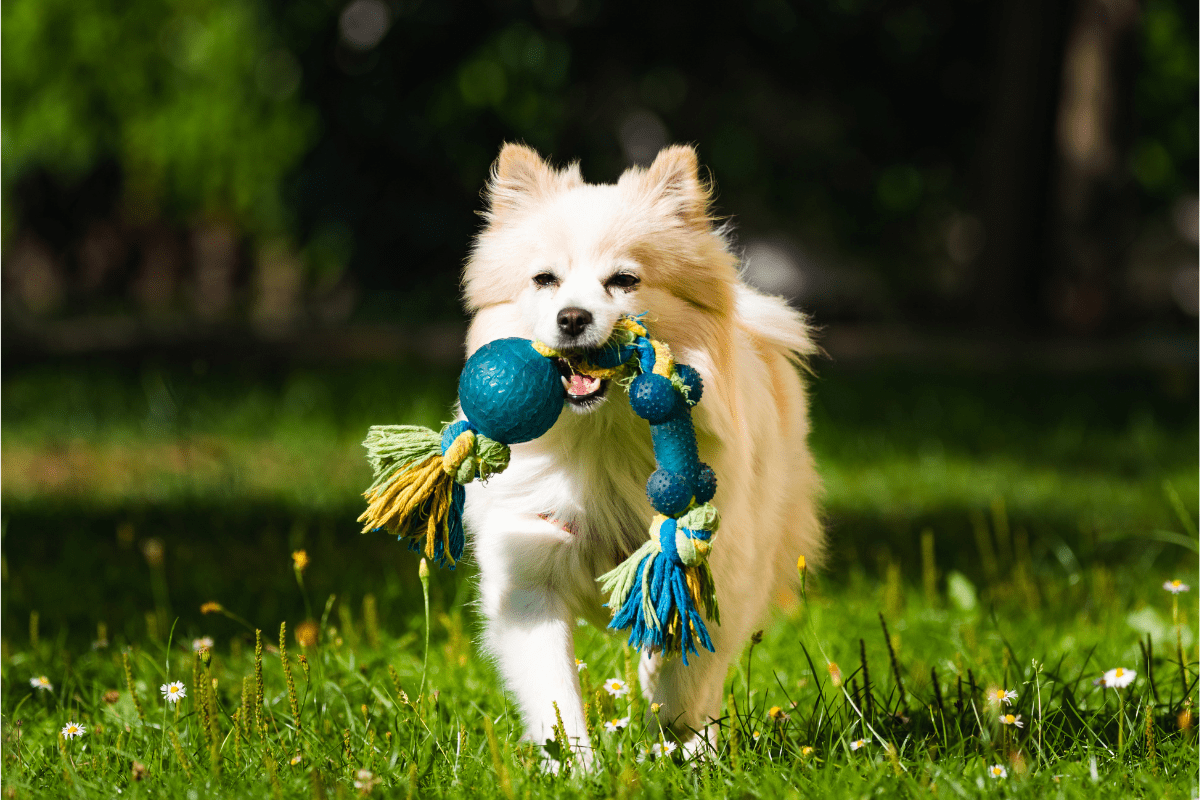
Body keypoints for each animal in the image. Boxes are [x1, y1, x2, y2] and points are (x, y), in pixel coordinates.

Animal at [458, 140, 825, 762]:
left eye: (624, 280)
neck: (601, 438)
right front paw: (576, 766)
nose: (572, 318)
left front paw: (680, 745)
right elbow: (555, 692)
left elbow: (685, 671)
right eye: (545, 280)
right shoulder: (530, 574)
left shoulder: (710, 569)